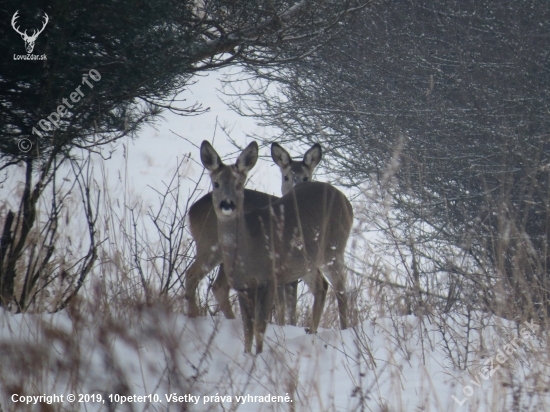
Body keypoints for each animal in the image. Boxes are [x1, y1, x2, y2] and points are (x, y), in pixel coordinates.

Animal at [185, 143, 324, 326]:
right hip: (209, 246)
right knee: (194, 275)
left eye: (306, 177)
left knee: (218, 286)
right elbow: (285, 304)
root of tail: (191, 211)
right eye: (286, 177)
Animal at [201, 142, 352, 354]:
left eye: (239, 184)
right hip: (306, 261)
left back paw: (345, 331)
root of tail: (345, 200)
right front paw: (247, 354)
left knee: (341, 288)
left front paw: (258, 355)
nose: (227, 204)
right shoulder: (242, 285)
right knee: (322, 286)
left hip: (333, 249)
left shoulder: (270, 278)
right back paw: (313, 332)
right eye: (216, 183)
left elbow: (260, 325)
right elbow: (247, 328)